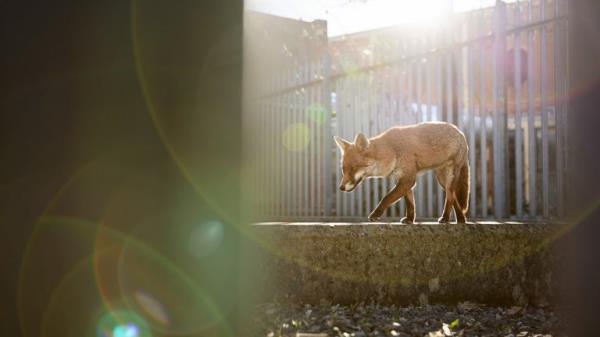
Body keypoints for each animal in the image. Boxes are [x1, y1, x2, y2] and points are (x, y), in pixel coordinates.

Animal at [336, 121, 472, 223]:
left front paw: (375, 214)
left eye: (353, 168)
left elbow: (387, 198)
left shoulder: (408, 179)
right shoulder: (403, 179)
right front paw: (410, 220)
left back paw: (445, 218)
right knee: (454, 197)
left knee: (450, 198)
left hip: (449, 178)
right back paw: (461, 219)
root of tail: (460, 132)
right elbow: (410, 203)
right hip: (442, 181)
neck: (391, 150)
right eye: (343, 169)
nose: (341, 187)